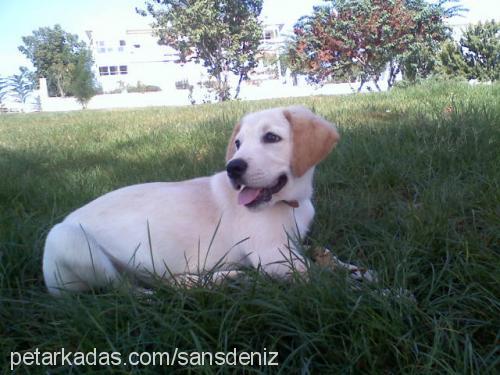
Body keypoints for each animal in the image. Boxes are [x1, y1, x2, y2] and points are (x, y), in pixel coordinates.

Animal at [44, 105, 340, 294]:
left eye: (271, 137)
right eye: (238, 143)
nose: (233, 167)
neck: (289, 204)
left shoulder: (294, 243)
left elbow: (326, 256)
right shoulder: (272, 256)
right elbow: (316, 275)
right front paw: (349, 285)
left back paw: (222, 279)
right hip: (67, 239)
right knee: (130, 290)